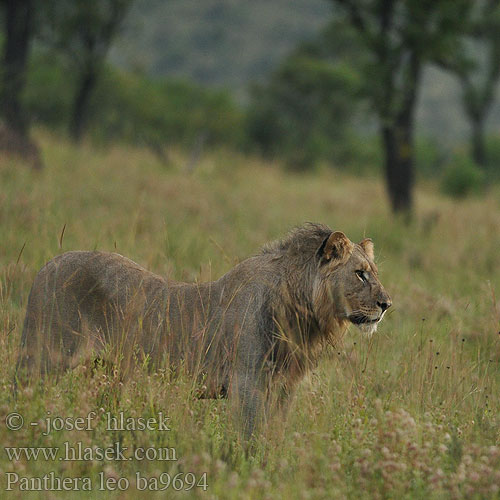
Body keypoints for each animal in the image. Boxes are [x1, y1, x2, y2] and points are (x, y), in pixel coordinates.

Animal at [15, 225, 390, 436]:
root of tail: (46, 266)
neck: (305, 311)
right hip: (43, 358)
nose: (386, 304)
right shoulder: (247, 383)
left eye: (373, 271)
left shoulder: (284, 387)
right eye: (360, 274)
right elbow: (250, 438)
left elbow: (275, 435)